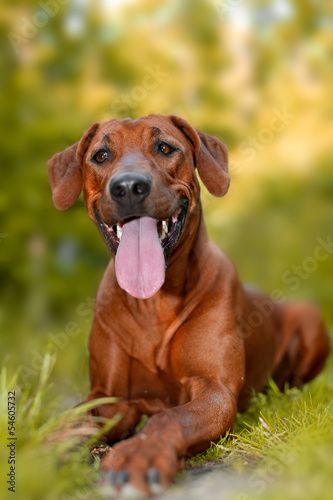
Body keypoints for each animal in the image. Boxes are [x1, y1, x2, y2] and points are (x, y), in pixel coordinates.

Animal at [47, 114, 330, 496]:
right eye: (101, 155)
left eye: (165, 148)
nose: (129, 187)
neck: (154, 302)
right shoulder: (108, 395)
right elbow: (76, 414)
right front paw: (48, 445)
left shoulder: (215, 390)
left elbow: (171, 416)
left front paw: (138, 456)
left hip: (310, 319)